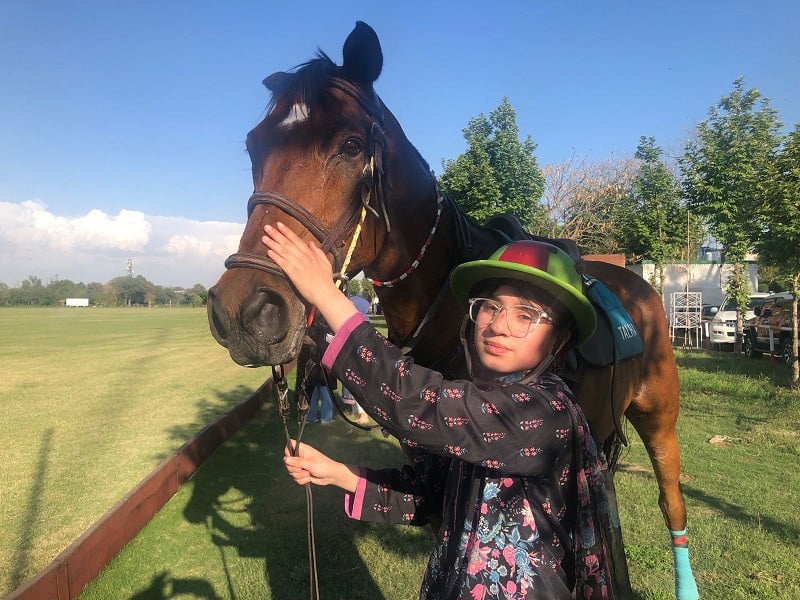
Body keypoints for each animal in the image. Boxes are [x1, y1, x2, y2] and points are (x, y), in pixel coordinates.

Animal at [208, 21, 700, 596]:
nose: (244, 313)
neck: (448, 320)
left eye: (351, 145)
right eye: (253, 147)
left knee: (672, 502)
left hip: (661, 419)